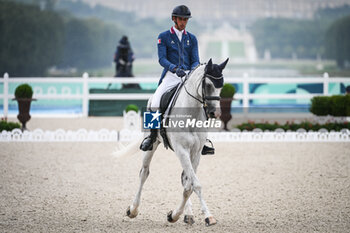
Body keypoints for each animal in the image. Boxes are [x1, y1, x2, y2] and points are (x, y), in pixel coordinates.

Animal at [126, 57, 230, 226]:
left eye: (221, 87)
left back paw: (188, 215)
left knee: (184, 178)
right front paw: (208, 216)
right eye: (208, 85)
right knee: (144, 174)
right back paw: (133, 209)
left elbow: (189, 186)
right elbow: (196, 185)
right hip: (152, 146)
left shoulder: (195, 152)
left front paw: (175, 215)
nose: (215, 113)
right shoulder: (182, 150)